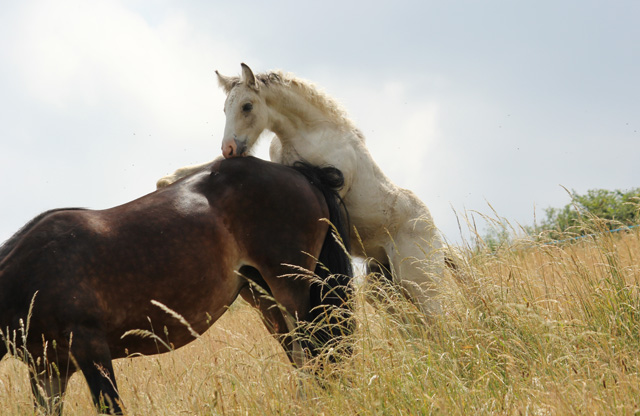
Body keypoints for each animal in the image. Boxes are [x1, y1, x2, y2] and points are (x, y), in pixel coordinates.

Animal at [0, 155, 352, 412]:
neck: (32, 273)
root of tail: (302, 174)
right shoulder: (48, 370)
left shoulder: (91, 349)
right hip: (267, 301)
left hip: (290, 291)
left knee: (314, 353)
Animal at [158, 63, 442, 316]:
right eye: (225, 108)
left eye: (247, 106)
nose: (229, 148)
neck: (311, 133)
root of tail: (431, 229)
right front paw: (168, 180)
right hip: (384, 285)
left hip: (420, 282)